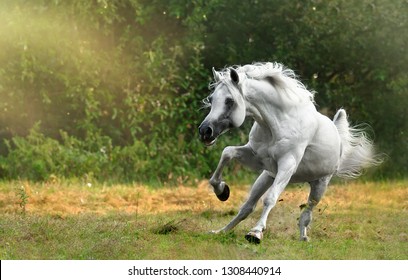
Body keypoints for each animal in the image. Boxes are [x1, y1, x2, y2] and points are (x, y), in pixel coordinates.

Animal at [199, 62, 380, 242]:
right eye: (212, 99)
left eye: (229, 101)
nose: (205, 131)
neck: (277, 123)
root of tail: (337, 135)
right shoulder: (256, 158)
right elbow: (227, 152)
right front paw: (222, 191)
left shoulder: (287, 164)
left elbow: (270, 199)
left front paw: (255, 233)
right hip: (266, 177)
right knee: (247, 207)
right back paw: (221, 231)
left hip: (319, 185)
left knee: (307, 212)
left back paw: (303, 238)